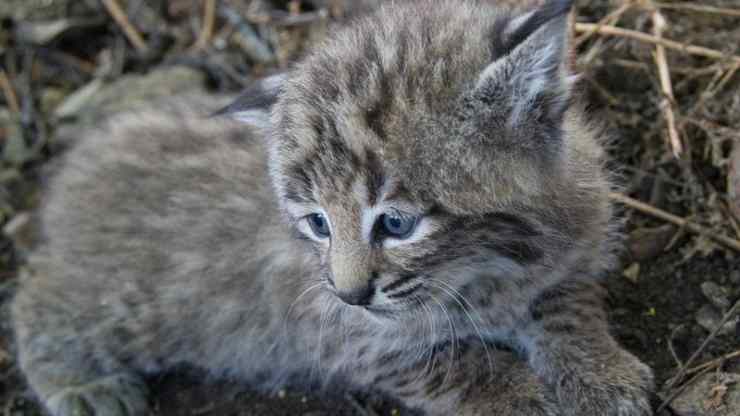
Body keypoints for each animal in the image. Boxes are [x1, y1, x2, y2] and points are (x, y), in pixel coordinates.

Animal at [11, 0, 652, 414]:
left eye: (396, 223)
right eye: (317, 223)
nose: (351, 294)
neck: (491, 268)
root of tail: (81, 157)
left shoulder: (575, 243)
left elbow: (569, 305)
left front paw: (598, 373)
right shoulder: (343, 335)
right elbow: (451, 363)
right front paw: (516, 395)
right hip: (124, 305)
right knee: (34, 298)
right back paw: (81, 386)